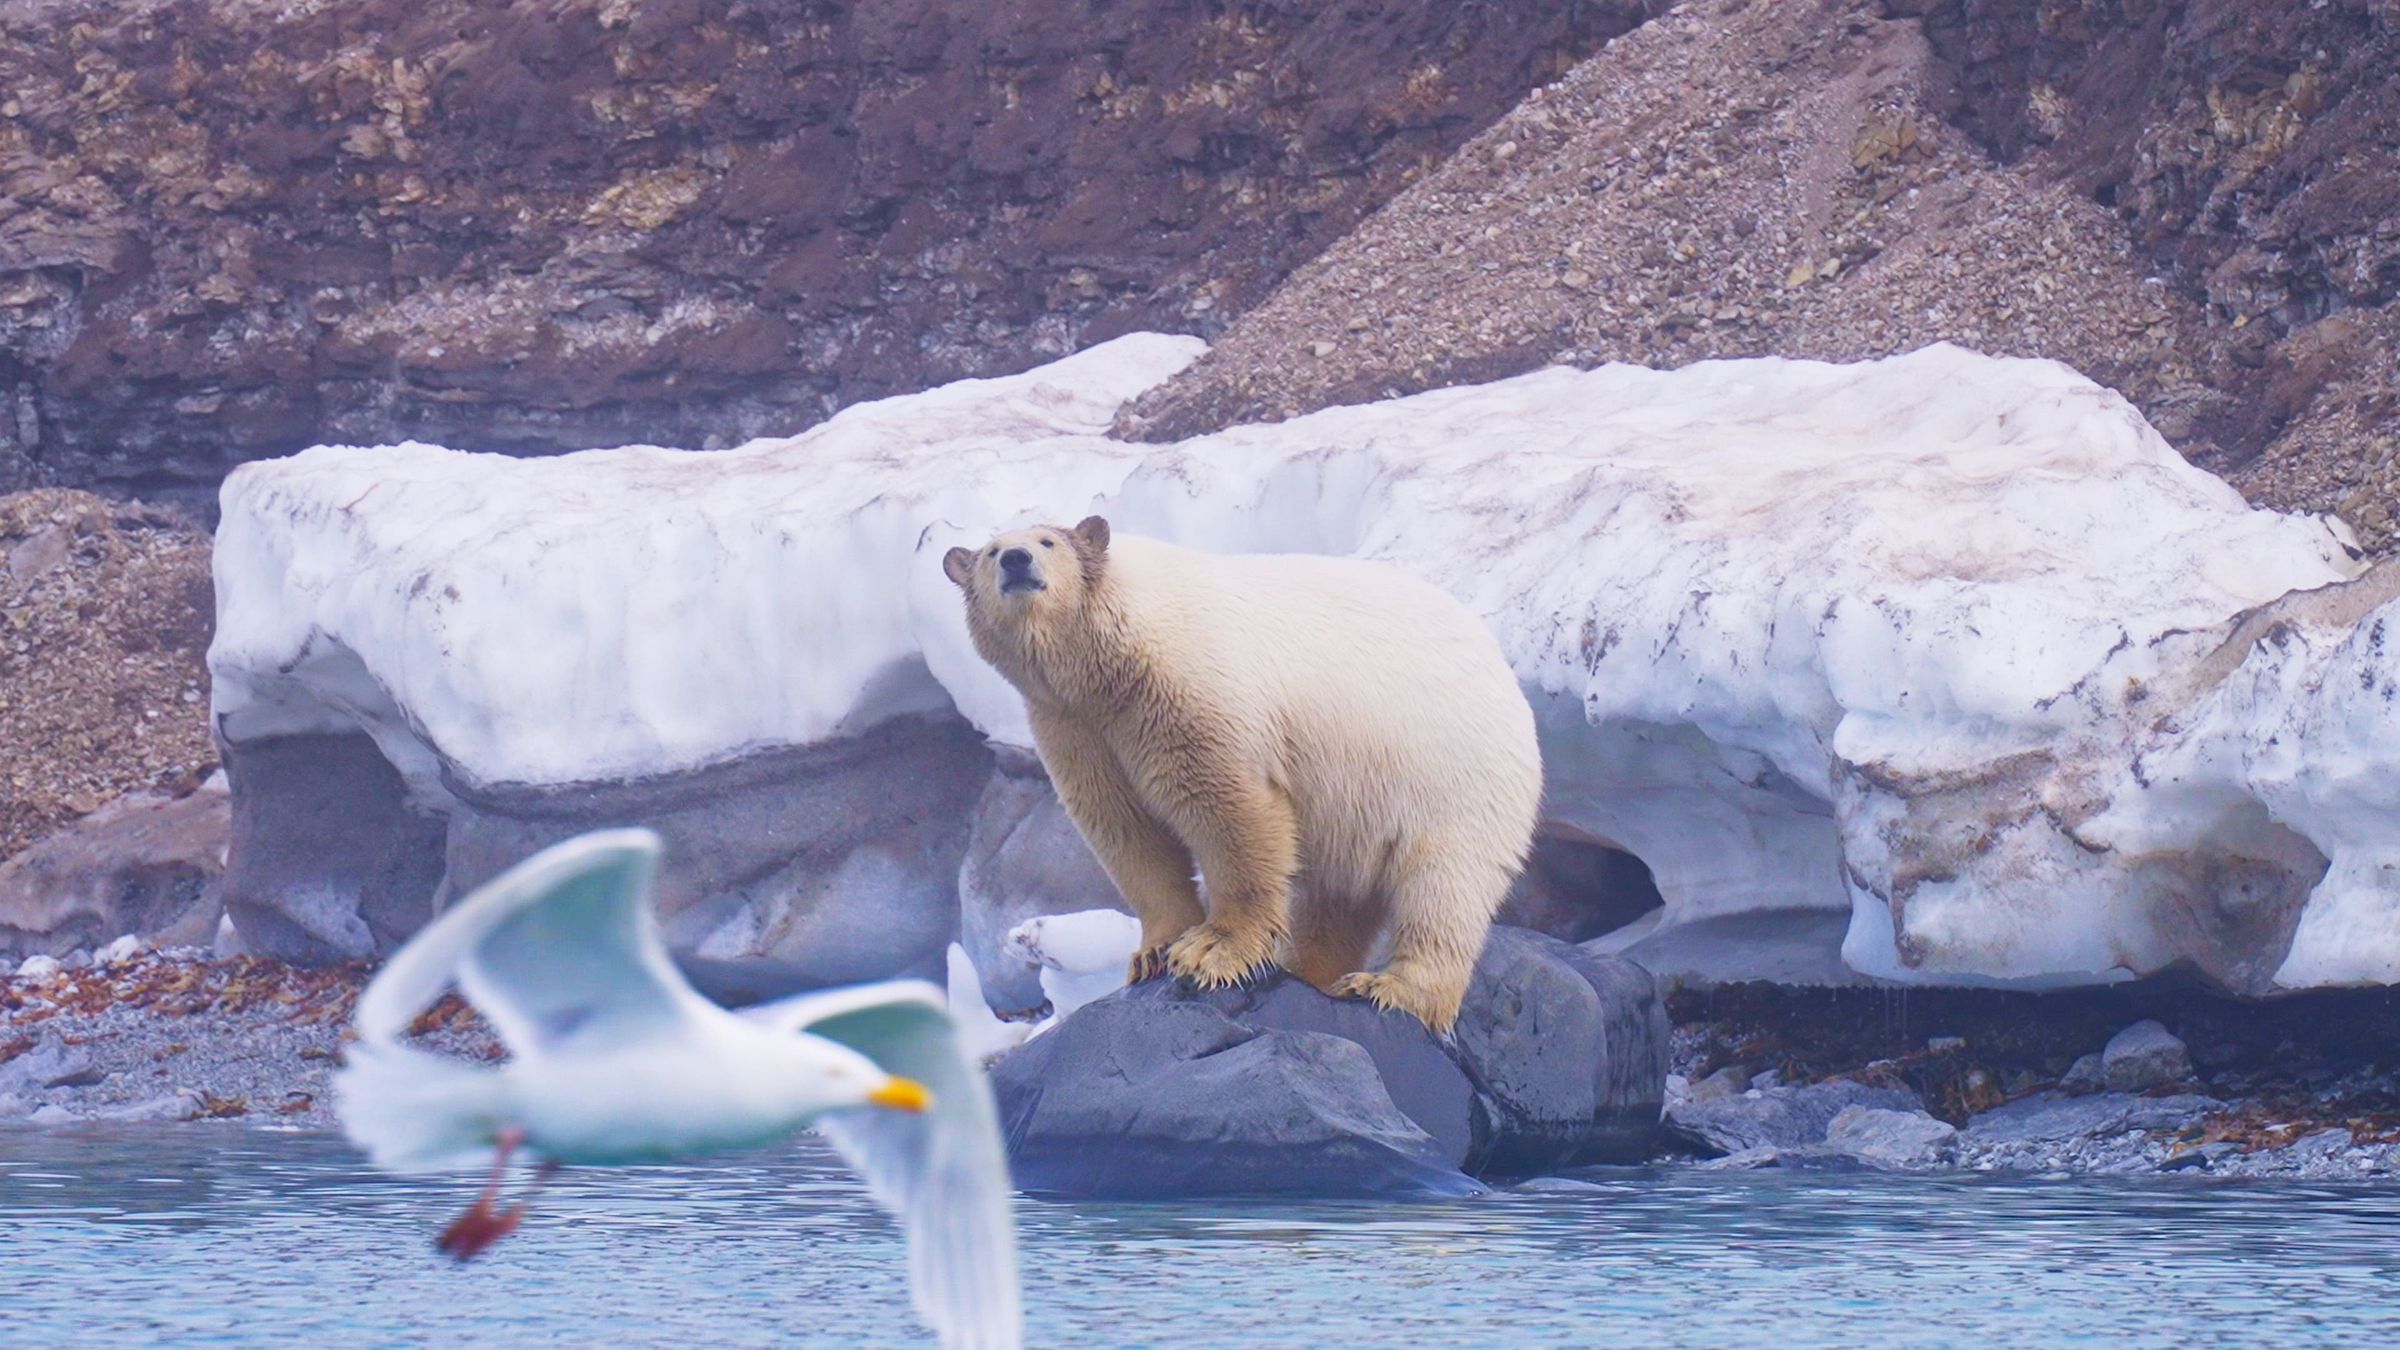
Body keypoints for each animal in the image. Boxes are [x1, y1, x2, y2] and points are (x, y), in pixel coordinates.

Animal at [943, 515, 1541, 1033]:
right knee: (1336, 899)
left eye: (1047, 541)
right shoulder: (1073, 725)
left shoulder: (1185, 687)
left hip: (1455, 776)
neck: (1112, 655)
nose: (1016, 560)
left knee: (1444, 888)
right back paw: (1308, 969)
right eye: (991, 551)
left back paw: (1390, 988)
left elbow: (1228, 809)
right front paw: (1153, 951)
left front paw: (1213, 950)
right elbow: (1125, 829)